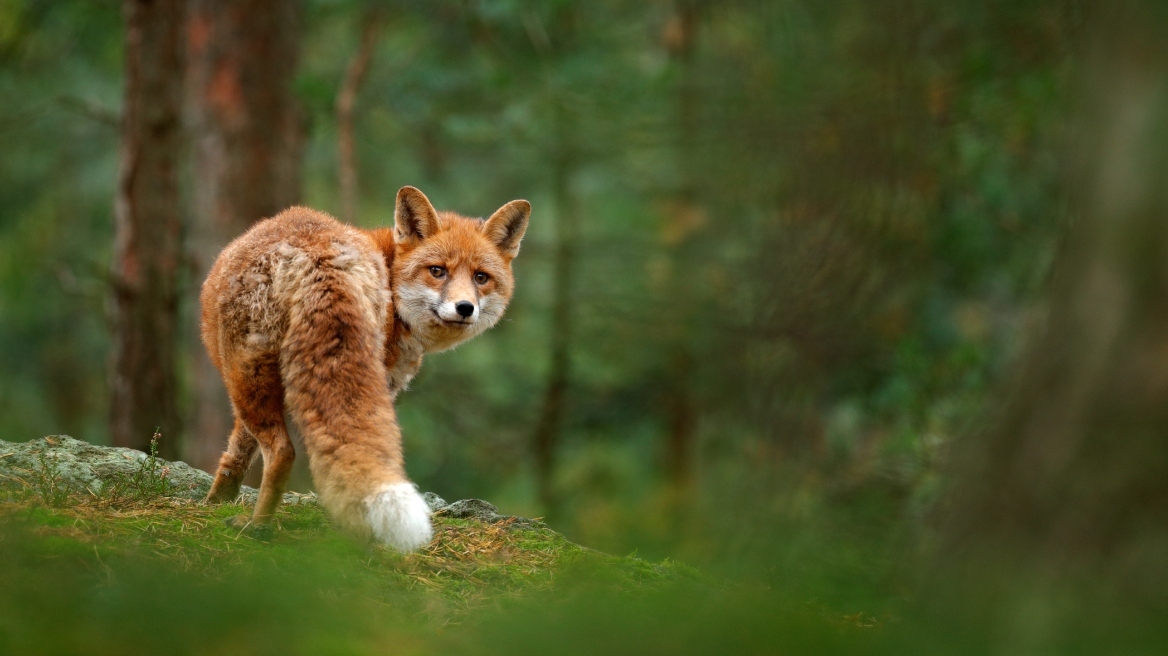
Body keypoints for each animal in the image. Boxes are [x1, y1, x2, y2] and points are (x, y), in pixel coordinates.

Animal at [199, 186, 530, 548]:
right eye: (437, 271)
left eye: (480, 277)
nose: (465, 307)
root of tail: (319, 257)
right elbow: (239, 451)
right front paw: (217, 501)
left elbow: (237, 451)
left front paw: (215, 502)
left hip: (245, 377)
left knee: (282, 452)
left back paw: (258, 526)